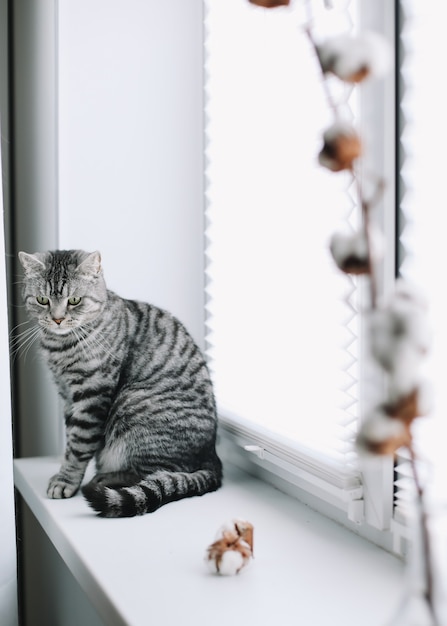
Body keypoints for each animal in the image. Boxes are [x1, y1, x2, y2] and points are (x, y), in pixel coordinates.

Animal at [18, 249, 222, 516]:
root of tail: (212, 457)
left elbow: (78, 445)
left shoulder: (92, 394)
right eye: (42, 300)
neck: (61, 346)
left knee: (155, 473)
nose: (57, 319)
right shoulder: (67, 395)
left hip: (132, 404)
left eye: (74, 300)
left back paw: (106, 478)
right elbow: (71, 438)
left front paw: (66, 480)